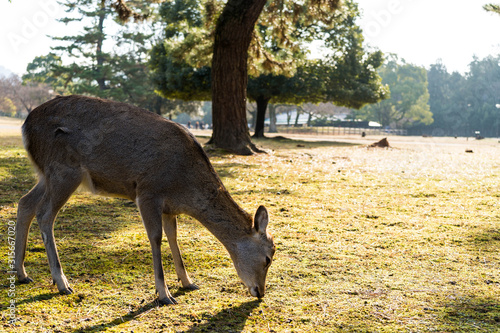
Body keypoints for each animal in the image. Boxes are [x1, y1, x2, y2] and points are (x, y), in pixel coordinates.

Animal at [15, 93, 276, 304]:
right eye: (268, 259)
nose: (260, 292)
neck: (185, 189)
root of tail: (25, 126)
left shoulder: (170, 207)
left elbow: (174, 237)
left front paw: (188, 282)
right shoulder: (148, 192)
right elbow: (156, 238)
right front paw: (164, 294)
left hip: (46, 174)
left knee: (25, 203)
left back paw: (21, 273)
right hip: (64, 171)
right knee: (45, 214)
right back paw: (62, 282)